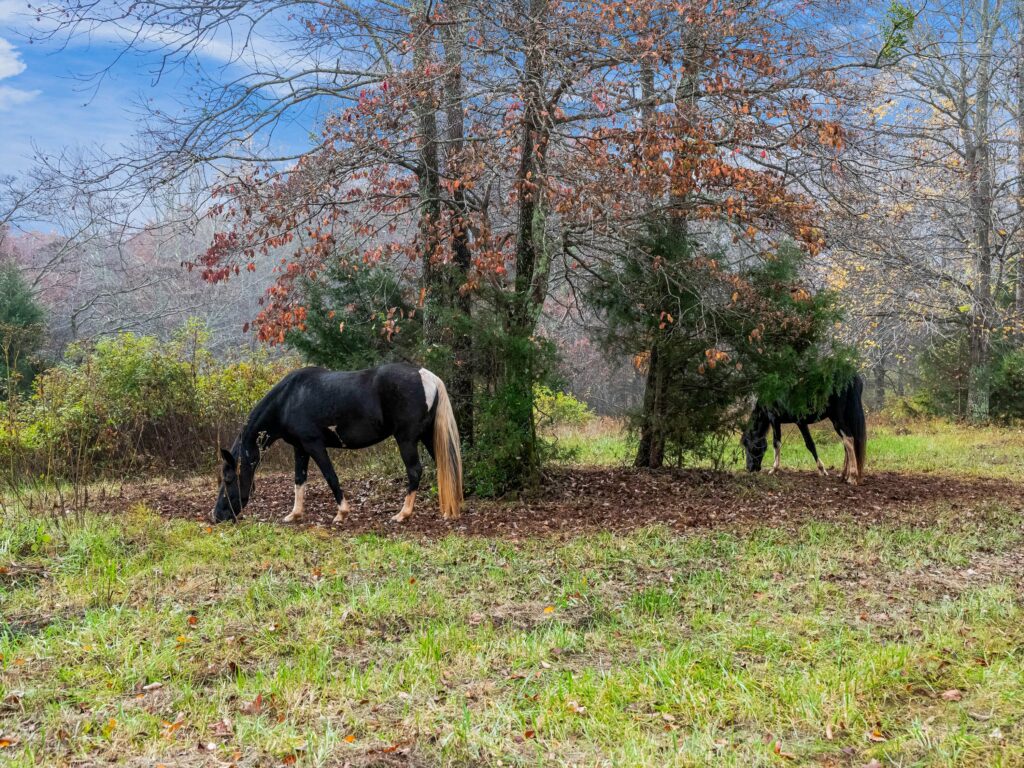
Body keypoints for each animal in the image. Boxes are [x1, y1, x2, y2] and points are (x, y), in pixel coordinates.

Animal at [214, 364, 462, 528]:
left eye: (229, 479)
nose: (217, 516)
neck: (288, 399)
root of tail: (427, 377)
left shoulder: (314, 445)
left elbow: (330, 476)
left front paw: (341, 514)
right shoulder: (300, 448)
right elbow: (299, 480)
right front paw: (294, 514)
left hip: (406, 439)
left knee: (414, 471)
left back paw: (403, 514)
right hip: (427, 436)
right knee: (445, 465)